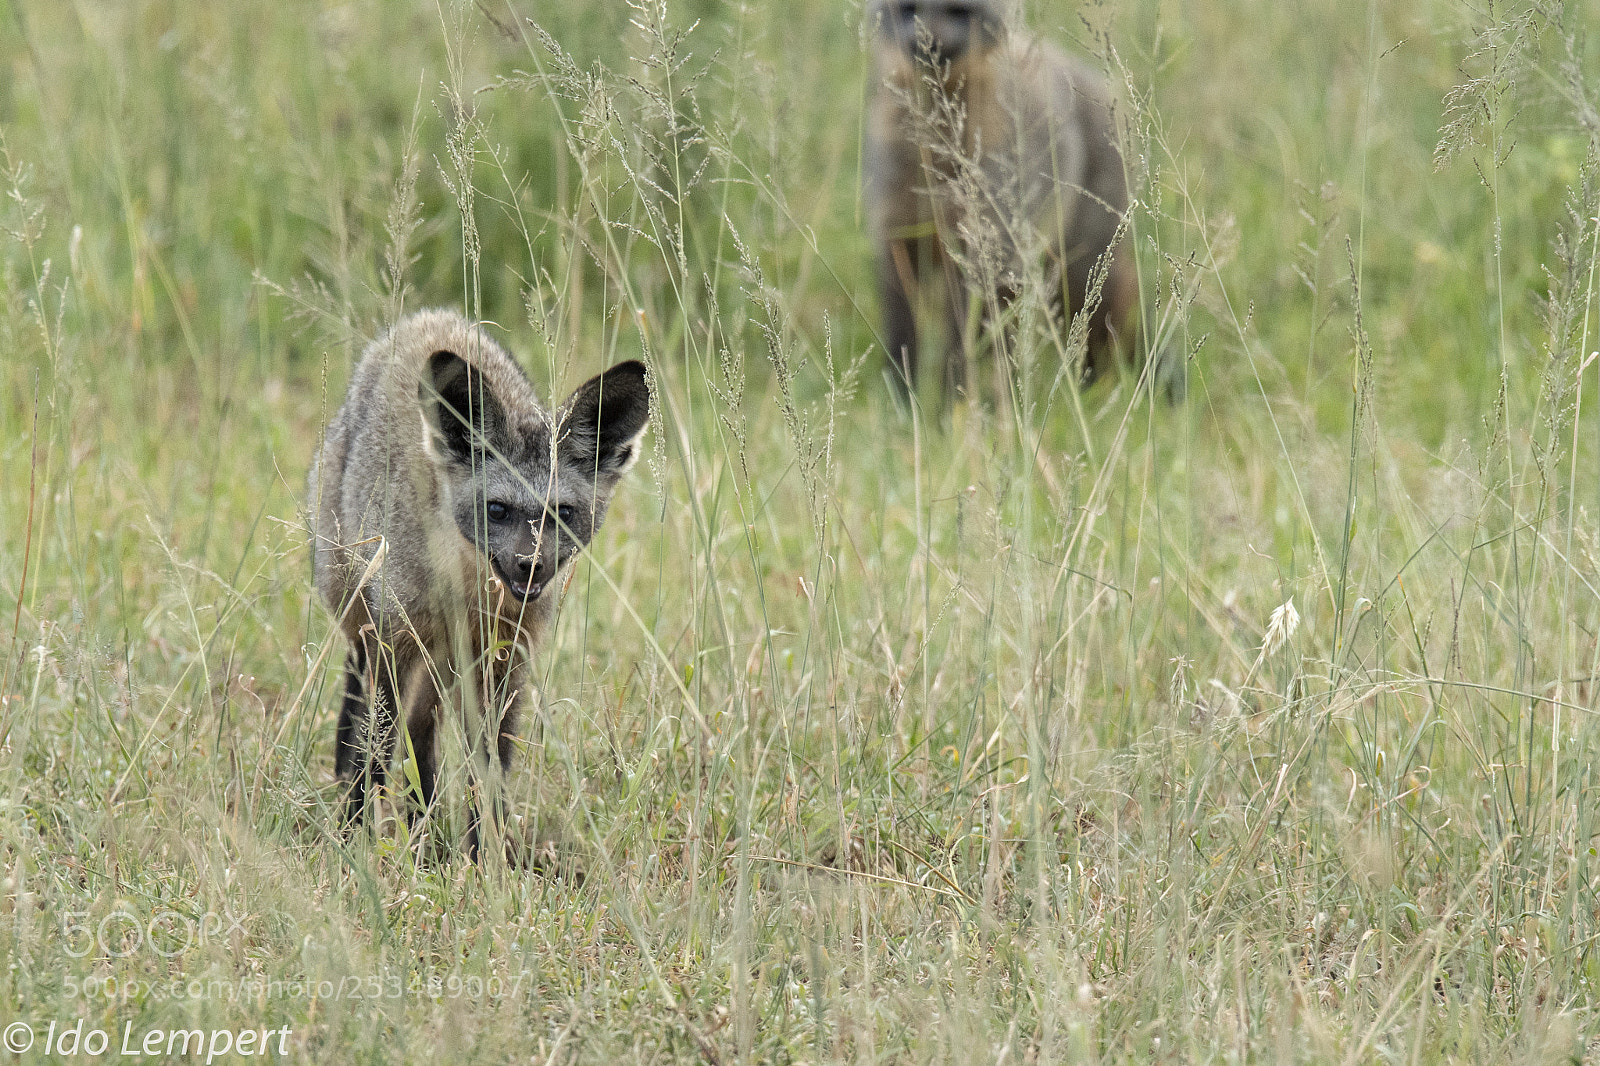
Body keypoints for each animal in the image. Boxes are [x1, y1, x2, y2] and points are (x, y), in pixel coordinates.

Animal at [307, 309, 650, 857]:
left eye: (562, 513)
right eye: (497, 510)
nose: (530, 566)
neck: (465, 595)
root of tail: (429, 318)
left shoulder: (506, 663)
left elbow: (489, 773)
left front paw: (484, 858)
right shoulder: (395, 643)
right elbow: (374, 749)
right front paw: (355, 839)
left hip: (442, 668)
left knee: (421, 735)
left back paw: (425, 830)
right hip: (371, 632)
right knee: (371, 721)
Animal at [864, 0, 1146, 396]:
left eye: (959, 12)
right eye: (908, 10)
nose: (928, 41)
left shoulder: (988, 248)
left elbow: (961, 343)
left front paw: (953, 398)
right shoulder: (898, 238)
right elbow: (904, 339)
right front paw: (905, 396)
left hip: (1077, 266)